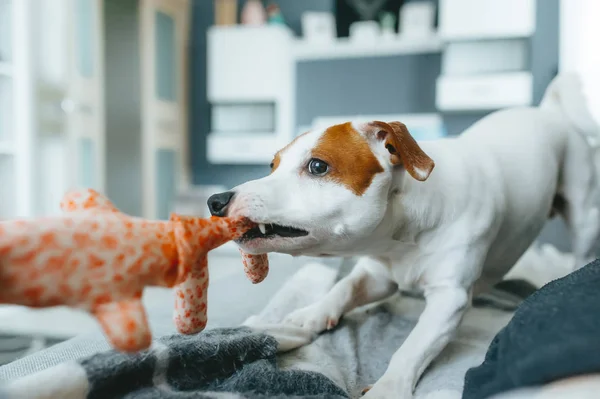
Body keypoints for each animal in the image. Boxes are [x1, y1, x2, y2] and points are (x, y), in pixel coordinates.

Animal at [206, 74, 600, 396]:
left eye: (317, 166)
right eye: (272, 166)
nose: (215, 200)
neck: (403, 231)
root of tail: (547, 110)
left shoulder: (449, 299)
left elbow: (411, 349)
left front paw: (388, 387)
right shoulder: (378, 275)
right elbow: (343, 287)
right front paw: (312, 314)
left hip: (583, 214)